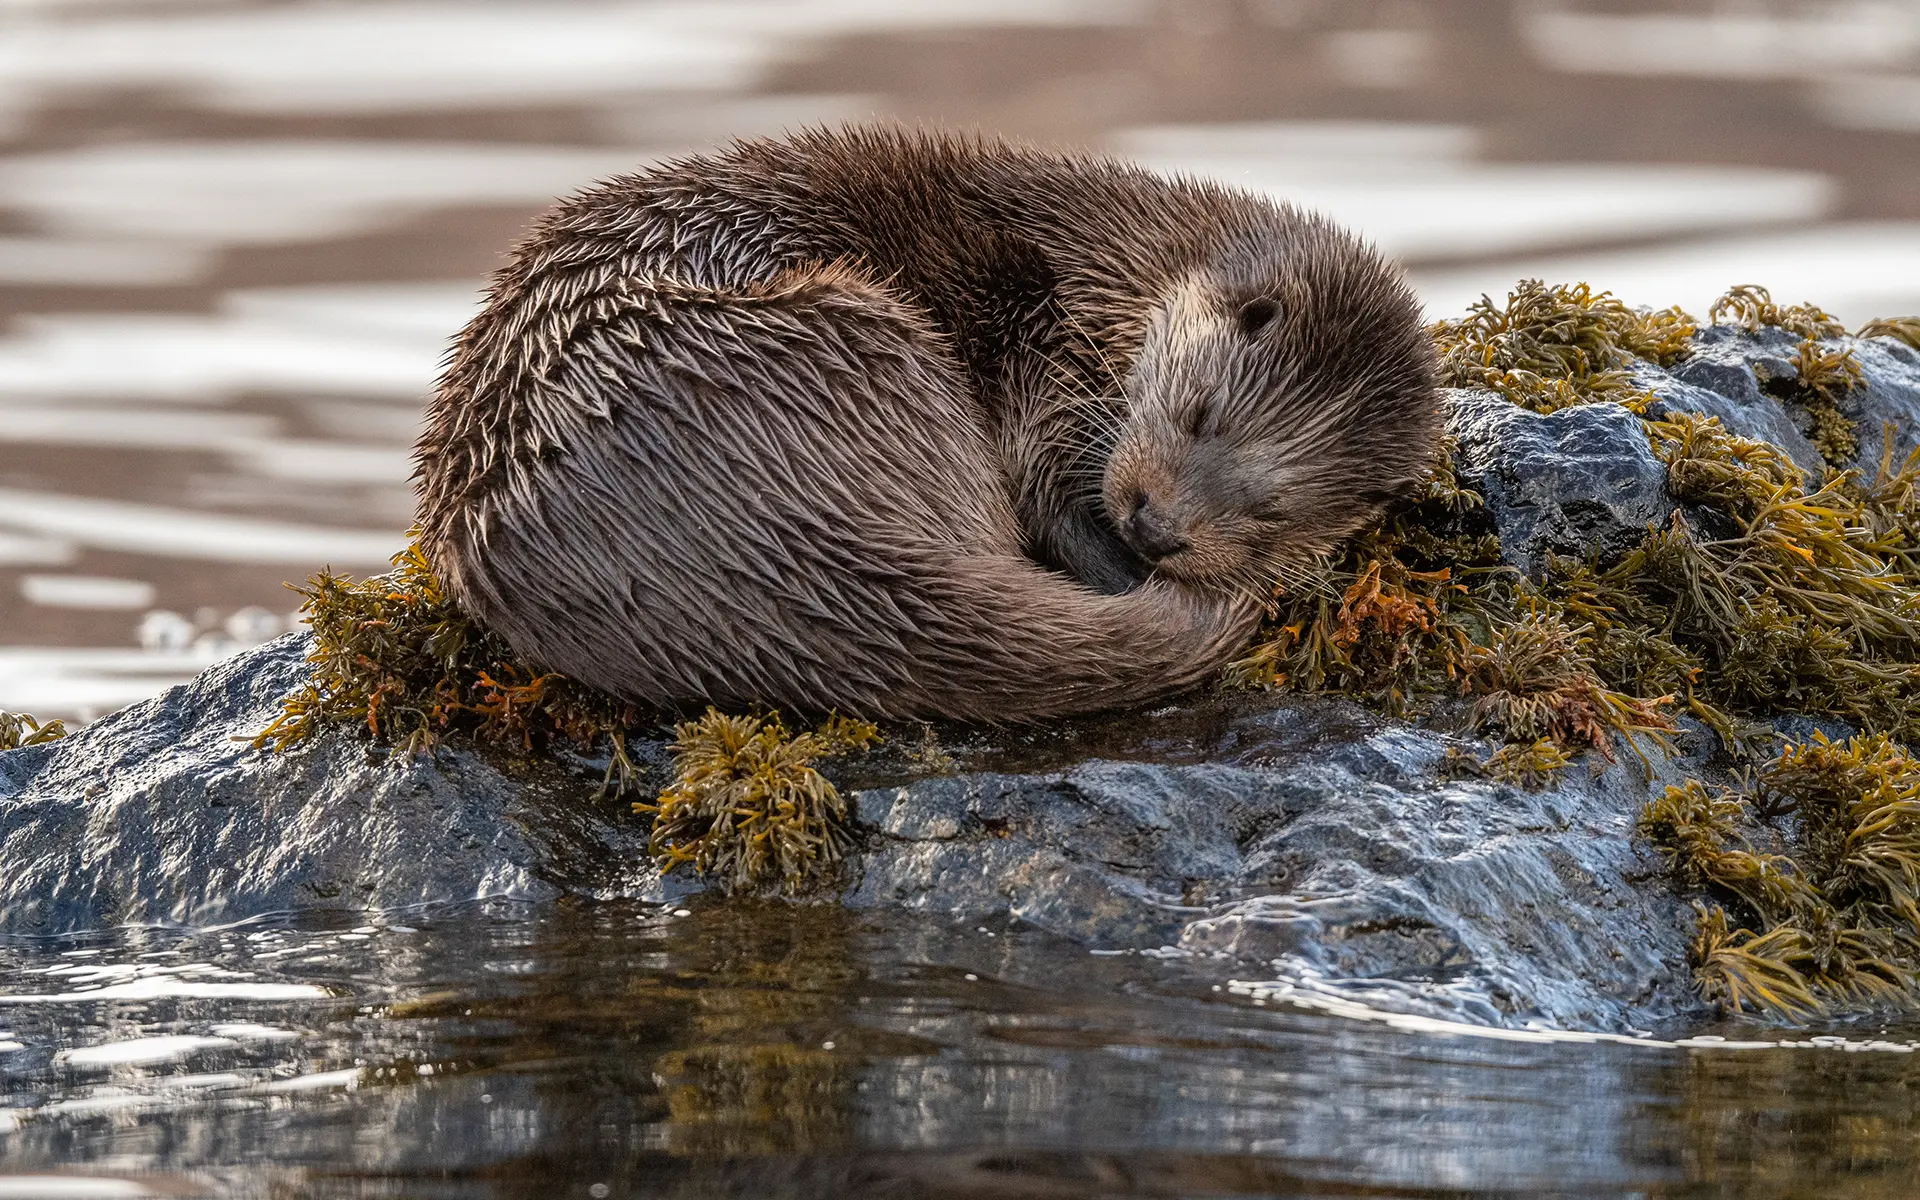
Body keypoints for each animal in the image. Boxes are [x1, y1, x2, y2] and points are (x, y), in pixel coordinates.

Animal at [413, 126, 1439, 722]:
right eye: (1199, 414)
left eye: (1273, 513)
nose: (1157, 528)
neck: (1102, 265)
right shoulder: (1037, 334)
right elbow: (1046, 479)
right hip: (864, 334)